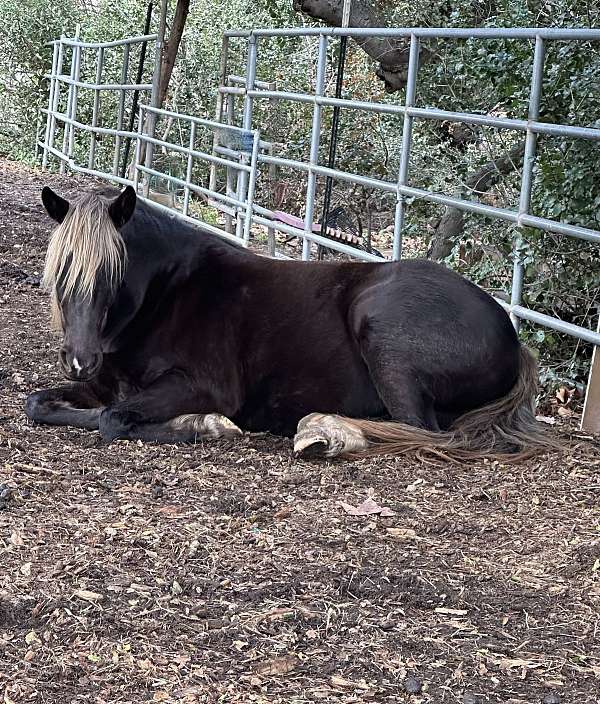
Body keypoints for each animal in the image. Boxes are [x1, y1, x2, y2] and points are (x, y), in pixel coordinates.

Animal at [25, 184, 549, 461]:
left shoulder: (202, 385)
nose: (79, 359)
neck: (166, 294)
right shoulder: (102, 383)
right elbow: (39, 404)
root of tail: (514, 338)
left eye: (112, 273)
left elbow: (113, 419)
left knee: (420, 429)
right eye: (60, 272)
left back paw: (327, 429)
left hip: (383, 334)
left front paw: (206, 426)